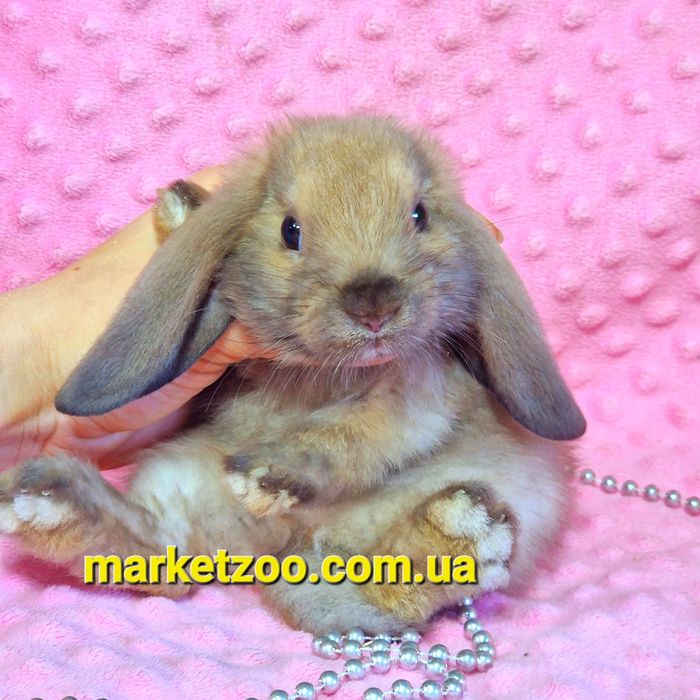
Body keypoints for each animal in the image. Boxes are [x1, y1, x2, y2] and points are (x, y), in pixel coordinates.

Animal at [0, 116, 585, 633]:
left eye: (420, 215)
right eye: (291, 230)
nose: (374, 307)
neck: (327, 373)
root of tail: (291, 546)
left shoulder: (415, 394)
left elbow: (352, 433)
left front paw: (266, 476)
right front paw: (183, 206)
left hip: (507, 496)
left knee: (385, 588)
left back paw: (461, 532)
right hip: (182, 479)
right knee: (167, 553)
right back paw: (46, 501)